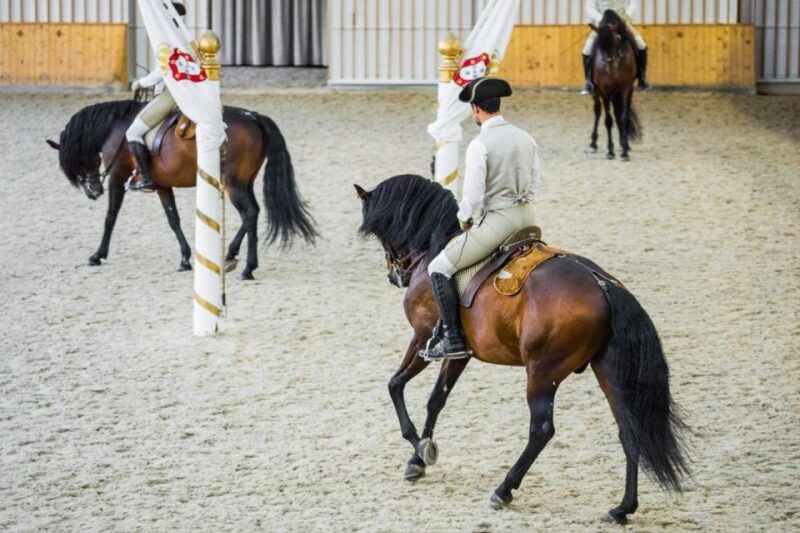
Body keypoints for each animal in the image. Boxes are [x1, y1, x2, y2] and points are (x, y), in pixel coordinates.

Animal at [46, 99, 317, 279]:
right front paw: (185, 259)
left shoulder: (116, 177)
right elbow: (173, 219)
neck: (118, 128)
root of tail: (253, 116)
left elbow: (110, 218)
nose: (93, 192)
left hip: (233, 184)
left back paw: (248, 268)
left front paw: (97, 255)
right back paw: (230, 256)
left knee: (249, 213)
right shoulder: (162, 185)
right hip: (243, 182)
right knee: (252, 213)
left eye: (76, 161)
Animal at [355, 174, 689, 524]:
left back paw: (504, 489)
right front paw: (420, 456)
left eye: (381, 234)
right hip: (607, 370)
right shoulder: (459, 354)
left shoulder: (421, 338)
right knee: (628, 429)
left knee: (541, 429)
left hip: (542, 372)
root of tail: (603, 285)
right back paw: (622, 508)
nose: (394, 275)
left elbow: (395, 385)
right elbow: (436, 400)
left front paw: (417, 447)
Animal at [589, 10, 642, 160]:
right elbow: (608, 120)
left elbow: (623, 117)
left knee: (620, 114)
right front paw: (610, 151)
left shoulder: (625, 88)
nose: (609, 69)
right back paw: (593, 144)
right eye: (598, 47)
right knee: (598, 112)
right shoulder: (605, 91)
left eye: (617, 40)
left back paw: (624, 144)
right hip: (597, 93)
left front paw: (624, 150)